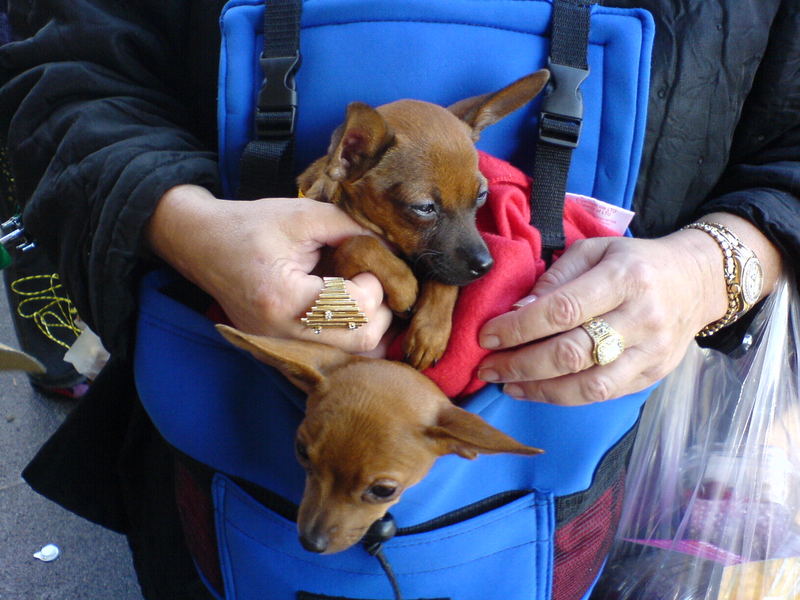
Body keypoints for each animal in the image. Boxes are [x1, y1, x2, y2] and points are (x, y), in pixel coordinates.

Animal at [296, 70, 552, 370]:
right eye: (425, 208)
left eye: (482, 195)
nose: (486, 266)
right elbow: (356, 243)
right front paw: (405, 286)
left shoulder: (443, 261)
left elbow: (444, 273)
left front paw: (430, 331)